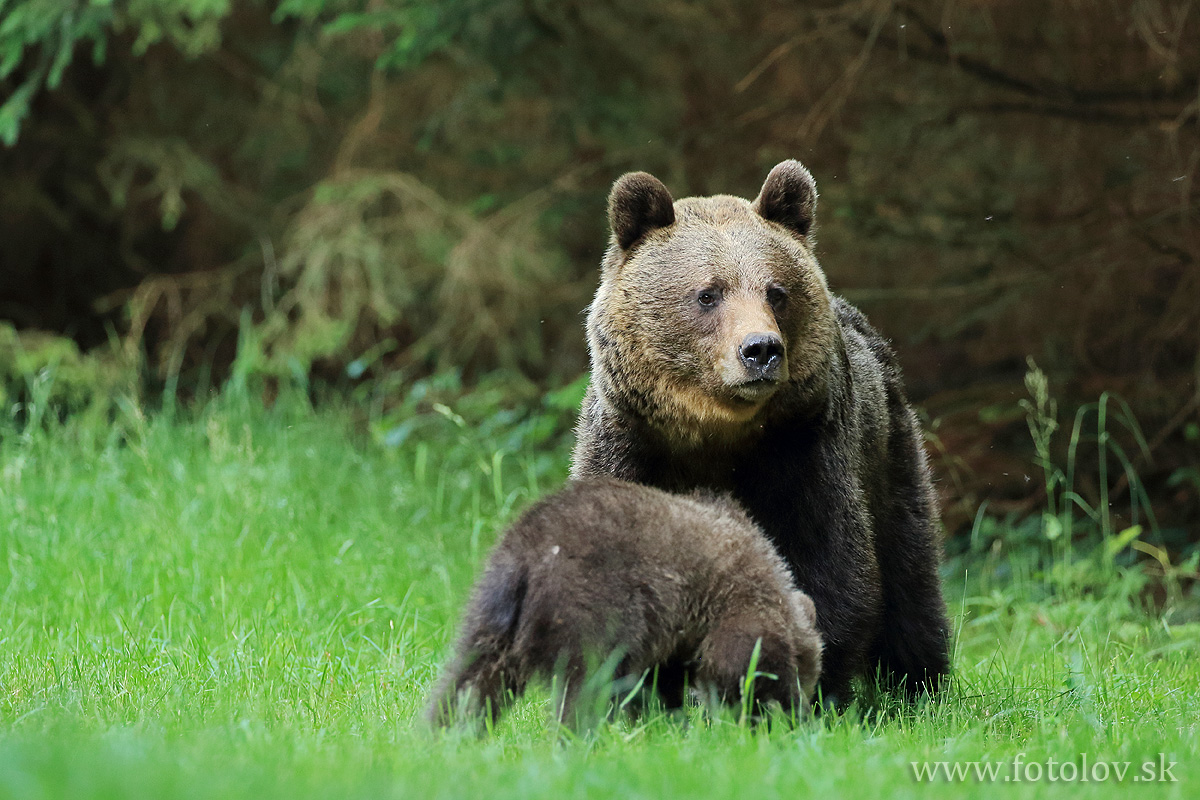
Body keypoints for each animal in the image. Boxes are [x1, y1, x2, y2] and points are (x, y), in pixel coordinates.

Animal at [566, 160, 950, 700]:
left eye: (776, 292)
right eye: (707, 294)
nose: (761, 349)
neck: (712, 432)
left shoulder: (802, 454)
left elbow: (826, 567)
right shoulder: (630, 449)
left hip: (888, 453)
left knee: (909, 571)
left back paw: (917, 684)